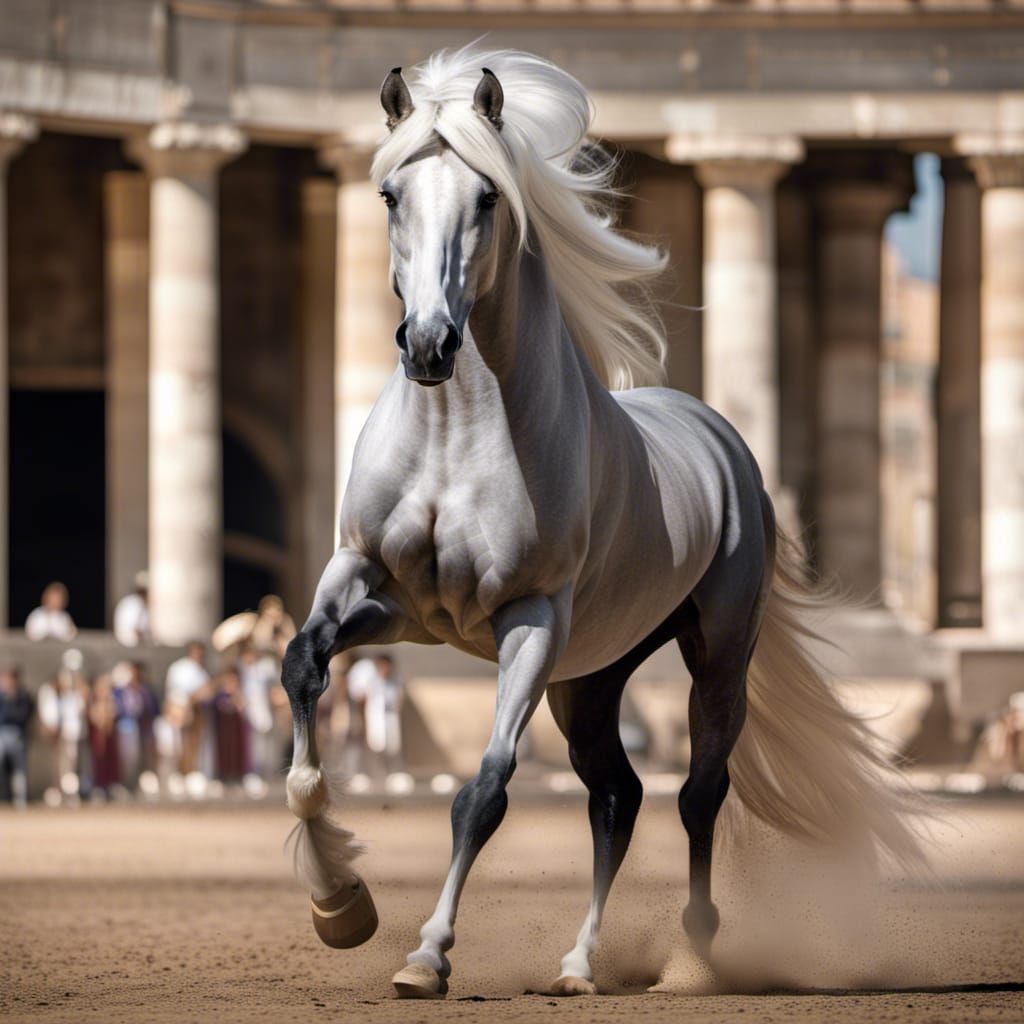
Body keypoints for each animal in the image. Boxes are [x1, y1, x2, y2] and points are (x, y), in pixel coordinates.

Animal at [281, 47, 925, 999]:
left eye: (487, 198)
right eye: (392, 194)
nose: (429, 345)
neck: (455, 436)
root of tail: (717, 433)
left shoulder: (529, 620)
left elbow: (485, 791)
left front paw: (427, 954)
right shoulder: (377, 589)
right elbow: (301, 669)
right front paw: (339, 904)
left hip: (709, 653)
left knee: (696, 791)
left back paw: (692, 952)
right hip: (589, 677)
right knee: (616, 796)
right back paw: (579, 963)